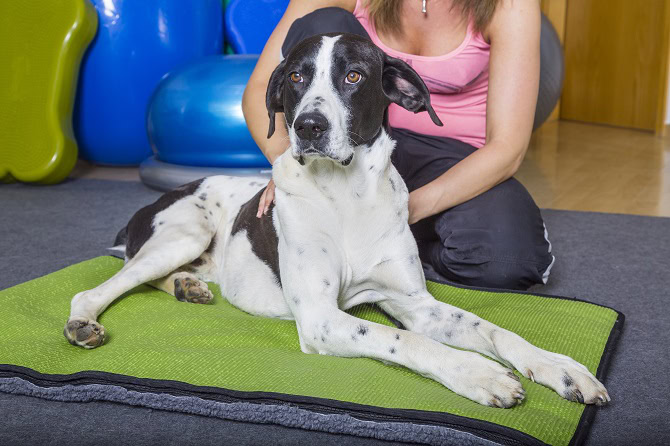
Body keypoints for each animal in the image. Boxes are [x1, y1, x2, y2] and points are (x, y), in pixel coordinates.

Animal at [65, 32, 612, 408]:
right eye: (296, 77)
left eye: (353, 77)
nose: (309, 126)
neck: (347, 197)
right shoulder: (323, 318)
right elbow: (404, 339)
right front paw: (477, 374)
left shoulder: (416, 304)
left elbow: (496, 330)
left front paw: (558, 367)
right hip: (185, 233)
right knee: (102, 287)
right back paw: (85, 322)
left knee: (147, 278)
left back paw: (187, 287)